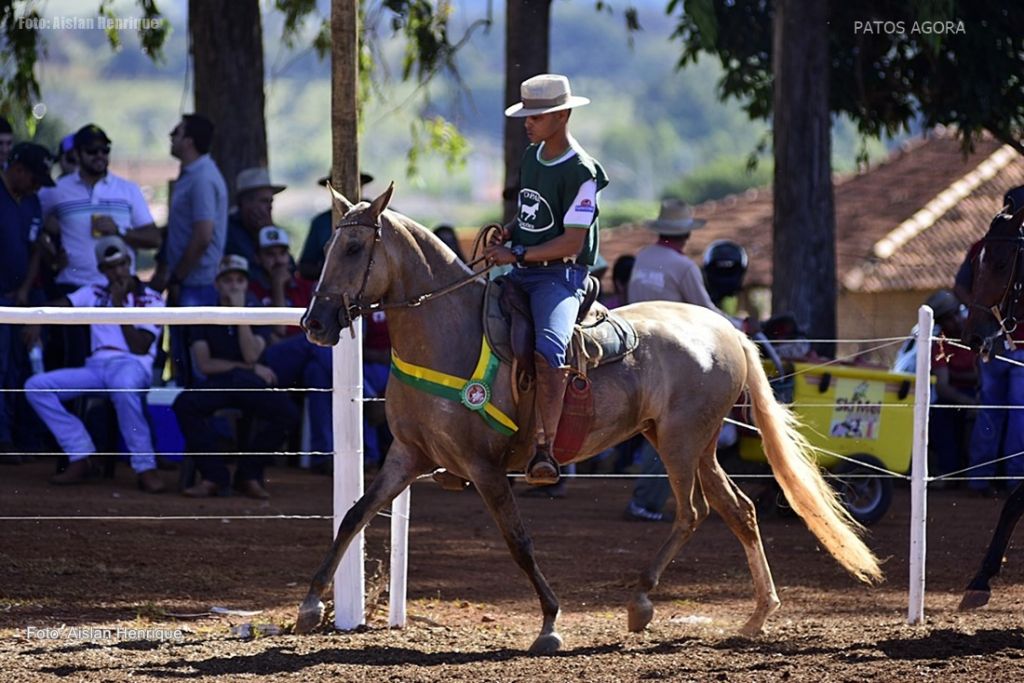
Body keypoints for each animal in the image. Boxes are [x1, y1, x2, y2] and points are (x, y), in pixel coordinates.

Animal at [294, 183, 880, 651]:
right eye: (326, 247)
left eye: (354, 247)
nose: (315, 322)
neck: (449, 333)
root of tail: (727, 330)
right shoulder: (407, 456)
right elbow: (353, 515)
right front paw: (310, 605)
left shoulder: (485, 468)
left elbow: (519, 542)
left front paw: (551, 623)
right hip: (695, 444)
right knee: (739, 511)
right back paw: (757, 615)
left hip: (681, 442)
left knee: (693, 513)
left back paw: (642, 601)